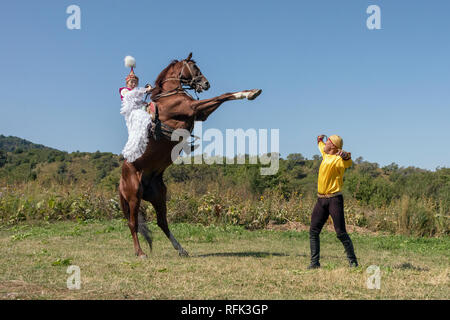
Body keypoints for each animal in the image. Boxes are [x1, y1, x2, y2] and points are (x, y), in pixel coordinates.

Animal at [118, 53, 262, 258]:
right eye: (194, 68)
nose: (206, 83)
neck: (170, 95)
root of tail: (121, 179)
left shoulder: (200, 113)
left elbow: (221, 98)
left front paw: (250, 92)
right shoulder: (193, 107)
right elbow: (223, 96)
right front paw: (250, 93)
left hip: (158, 195)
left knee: (162, 222)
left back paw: (181, 249)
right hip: (133, 196)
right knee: (133, 223)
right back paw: (140, 253)